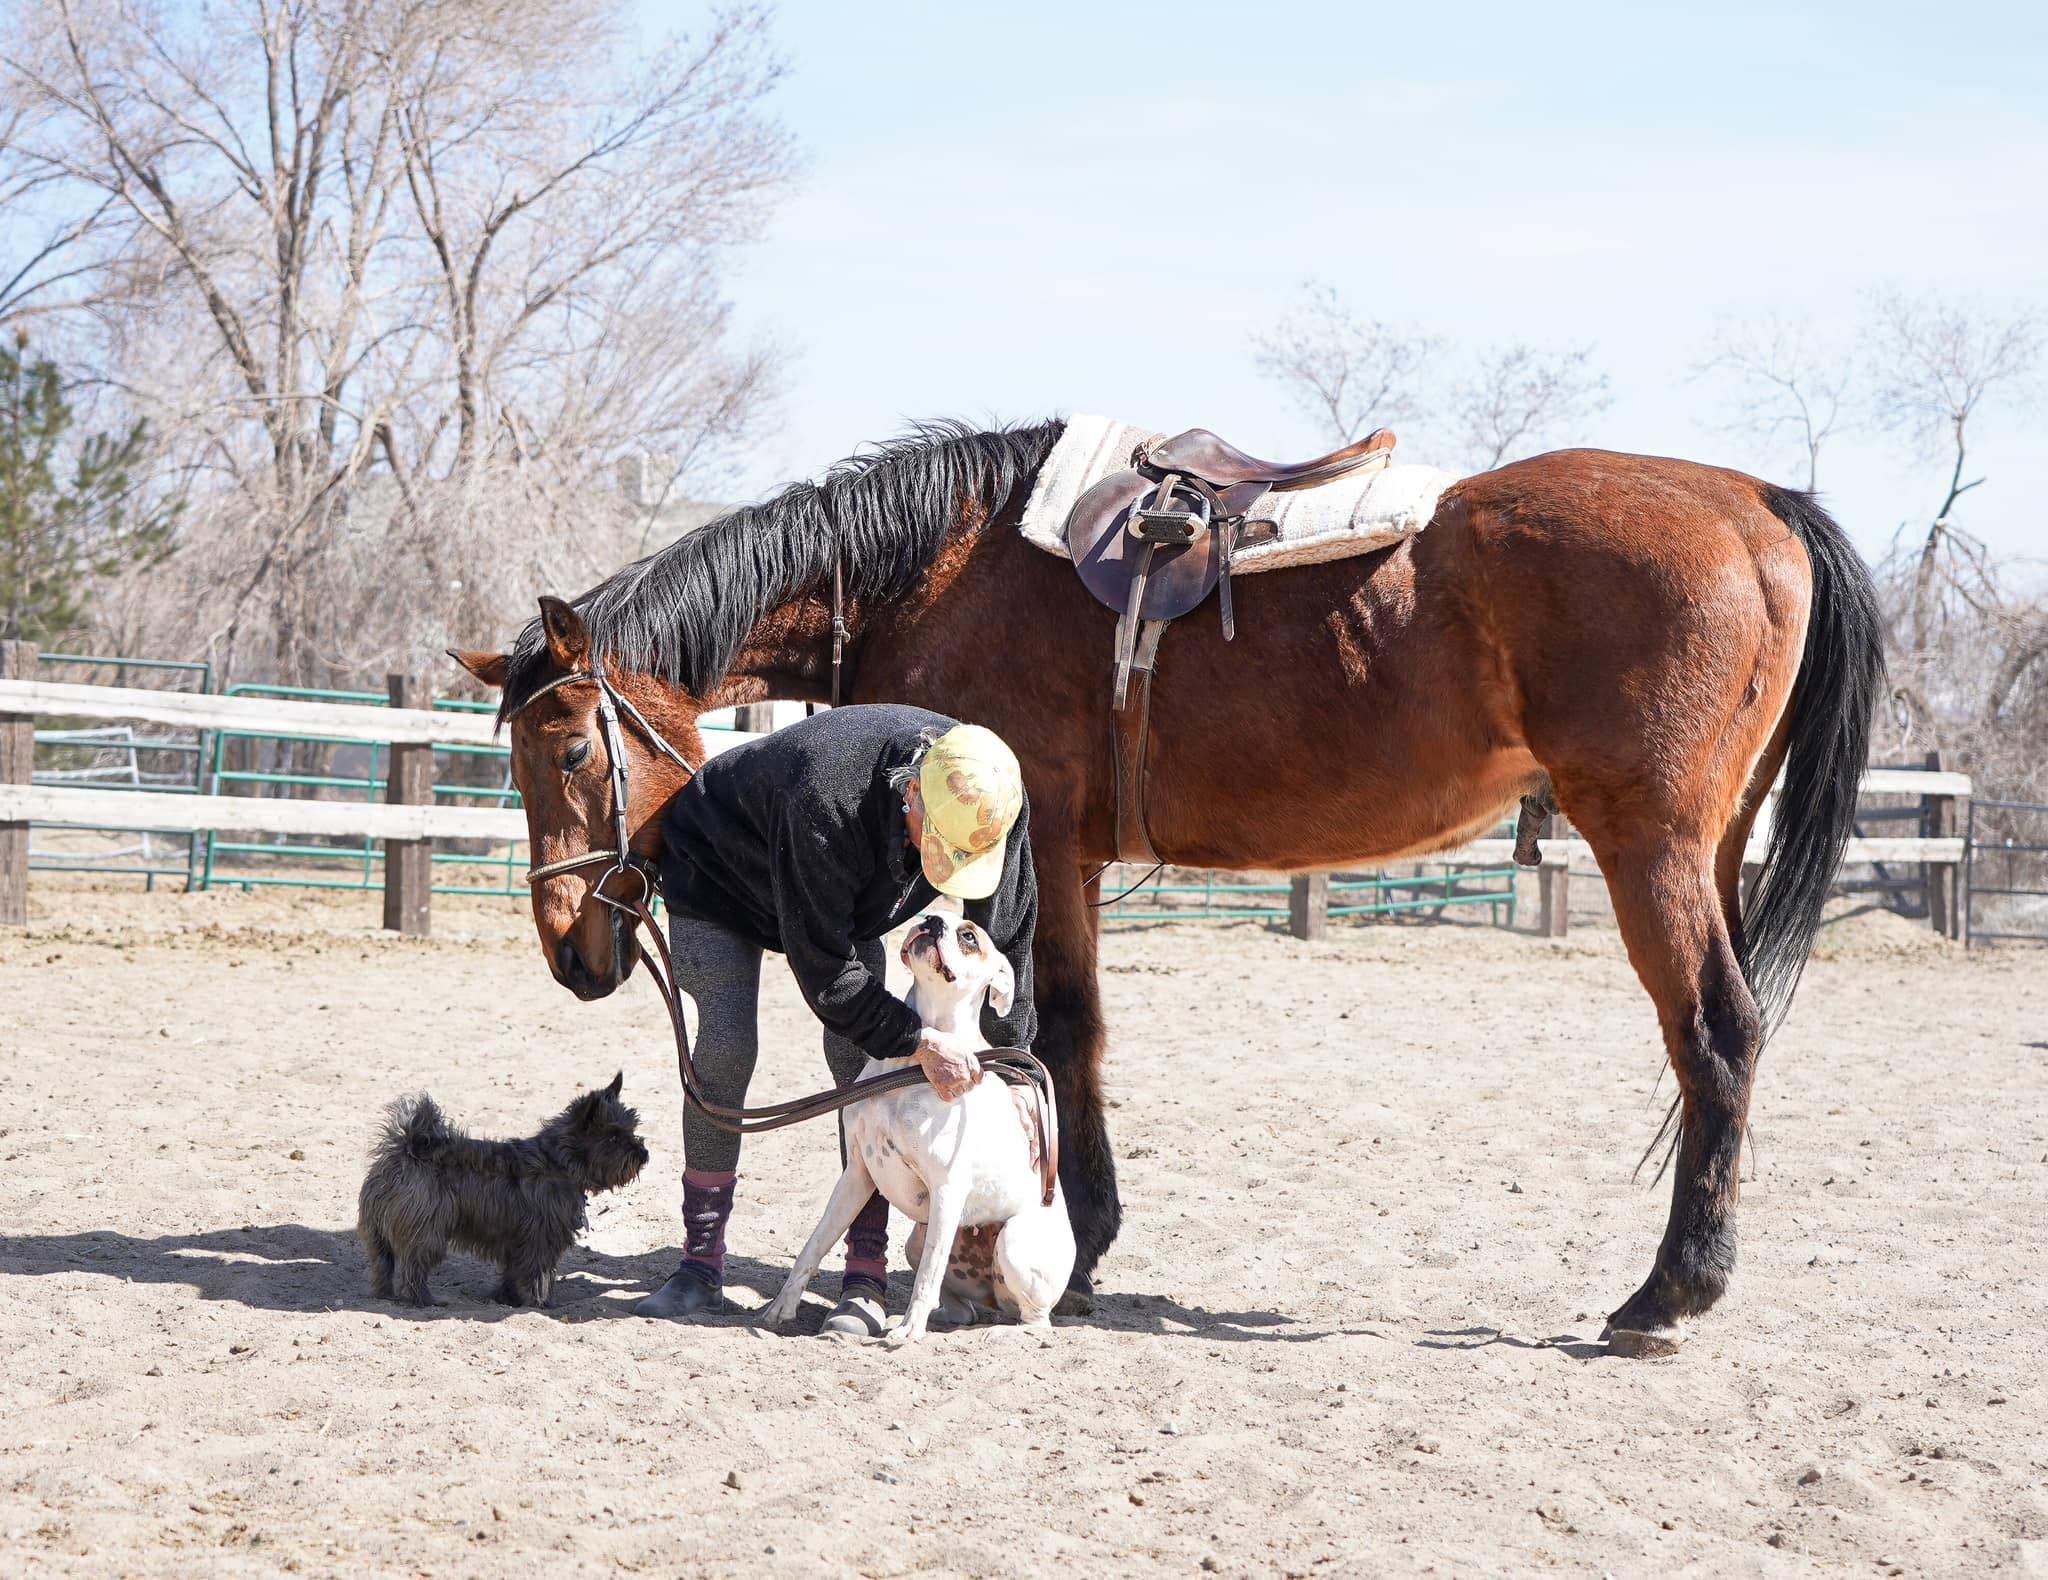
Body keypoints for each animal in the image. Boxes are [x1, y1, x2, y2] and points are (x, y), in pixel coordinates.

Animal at [451, 418, 1884, 1355]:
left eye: (566, 749)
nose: (569, 947)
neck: (940, 562)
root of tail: (1756, 501)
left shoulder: (1039, 844)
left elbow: (1057, 1031)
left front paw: (1072, 1248)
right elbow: (1044, 1038)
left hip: (1647, 846)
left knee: (1714, 1034)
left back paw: (1665, 1294)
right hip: (1705, 847)